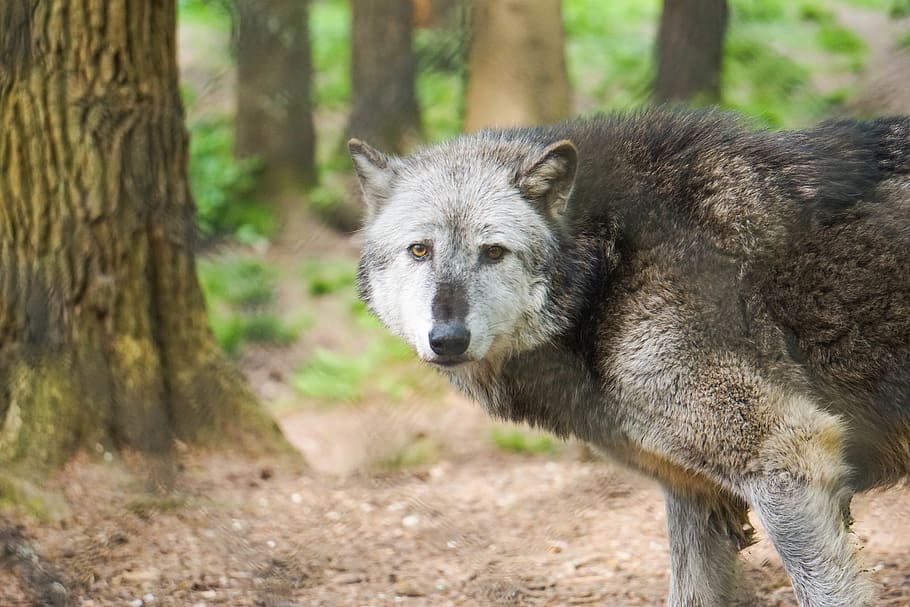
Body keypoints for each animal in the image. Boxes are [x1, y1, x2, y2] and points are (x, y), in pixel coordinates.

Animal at [349, 108, 910, 607]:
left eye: (493, 252)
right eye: (419, 250)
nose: (447, 338)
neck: (609, 267)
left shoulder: (790, 459)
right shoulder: (694, 492)